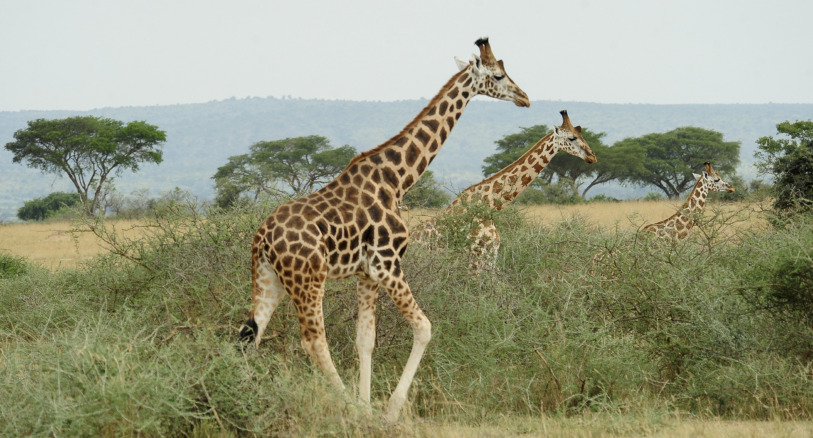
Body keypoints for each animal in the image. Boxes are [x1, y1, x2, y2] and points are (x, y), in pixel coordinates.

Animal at [238, 38, 530, 422]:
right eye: (498, 75)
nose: (524, 97)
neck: (397, 179)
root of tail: (263, 238)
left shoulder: (367, 272)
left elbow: (365, 339)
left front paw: (368, 403)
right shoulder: (388, 263)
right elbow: (424, 328)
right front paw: (386, 410)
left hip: (268, 279)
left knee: (250, 334)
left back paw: (248, 404)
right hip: (308, 279)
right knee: (313, 340)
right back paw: (345, 407)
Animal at [415, 110, 597, 271]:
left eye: (582, 135)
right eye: (571, 137)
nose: (592, 156)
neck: (489, 206)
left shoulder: (491, 258)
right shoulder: (475, 259)